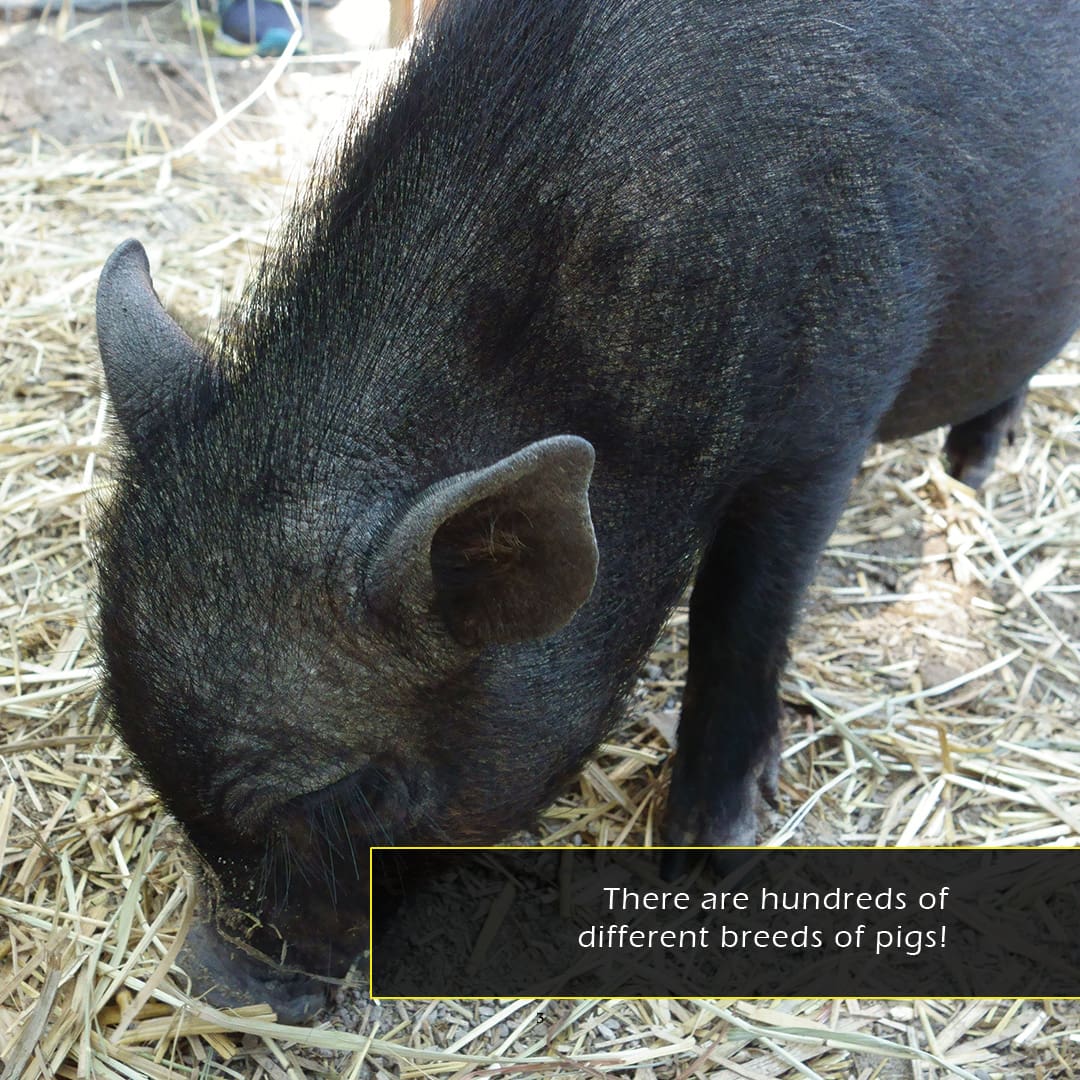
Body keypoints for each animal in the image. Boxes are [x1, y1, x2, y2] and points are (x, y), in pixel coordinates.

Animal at [94, 0, 1080, 1019]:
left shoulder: (824, 427)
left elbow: (743, 618)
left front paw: (702, 858)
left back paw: (972, 470)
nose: (216, 983)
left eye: (353, 795)